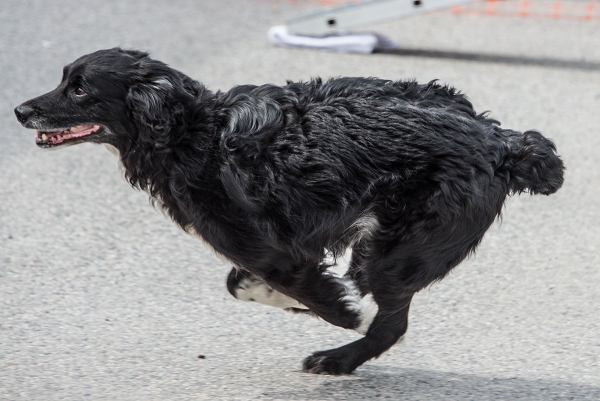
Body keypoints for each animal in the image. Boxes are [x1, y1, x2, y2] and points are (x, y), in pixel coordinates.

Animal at [15, 48, 568, 374]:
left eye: (80, 87)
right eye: (64, 80)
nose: (20, 110)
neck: (193, 135)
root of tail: (502, 142)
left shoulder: (275, 251)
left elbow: (316, 293)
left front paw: (343, 309)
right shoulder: (275, 252)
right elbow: (244, 284)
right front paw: (299, 299)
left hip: (397, 248)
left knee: (390, 322)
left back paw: (337, 358)